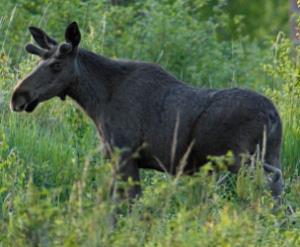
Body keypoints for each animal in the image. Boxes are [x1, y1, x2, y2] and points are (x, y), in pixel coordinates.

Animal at [9, 22, 284, 205]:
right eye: (39, 61)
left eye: (56, 65)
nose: (17, 96)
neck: (96, 102)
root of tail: (273, 115)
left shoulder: (124, 156)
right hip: (270, 154)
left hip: (245, 161)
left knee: (268, 185)